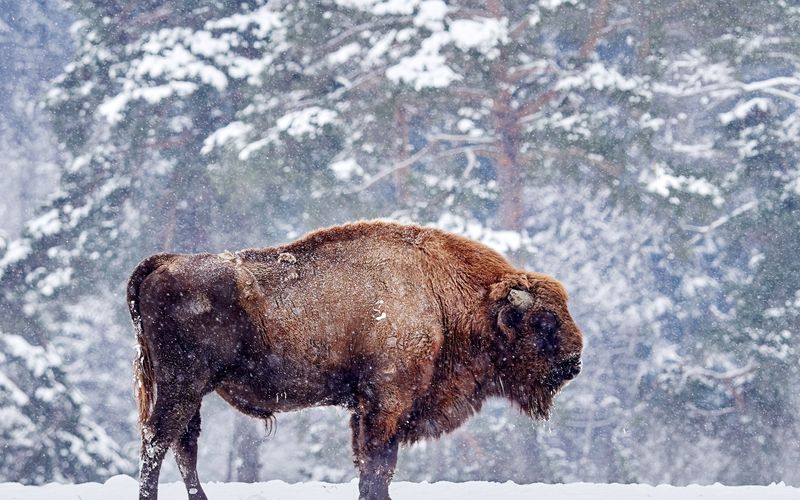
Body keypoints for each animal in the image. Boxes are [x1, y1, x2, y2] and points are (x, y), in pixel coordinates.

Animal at [128, 221, 584, 500]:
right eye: (544, 321)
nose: (575, 362)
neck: (441, 294)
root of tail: (166, 262)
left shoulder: (366, 410)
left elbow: (369, 466)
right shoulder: (386, 404)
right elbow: (378, 466)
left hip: (192, 391)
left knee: (183, 445)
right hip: (182, 384)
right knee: (158, 440)